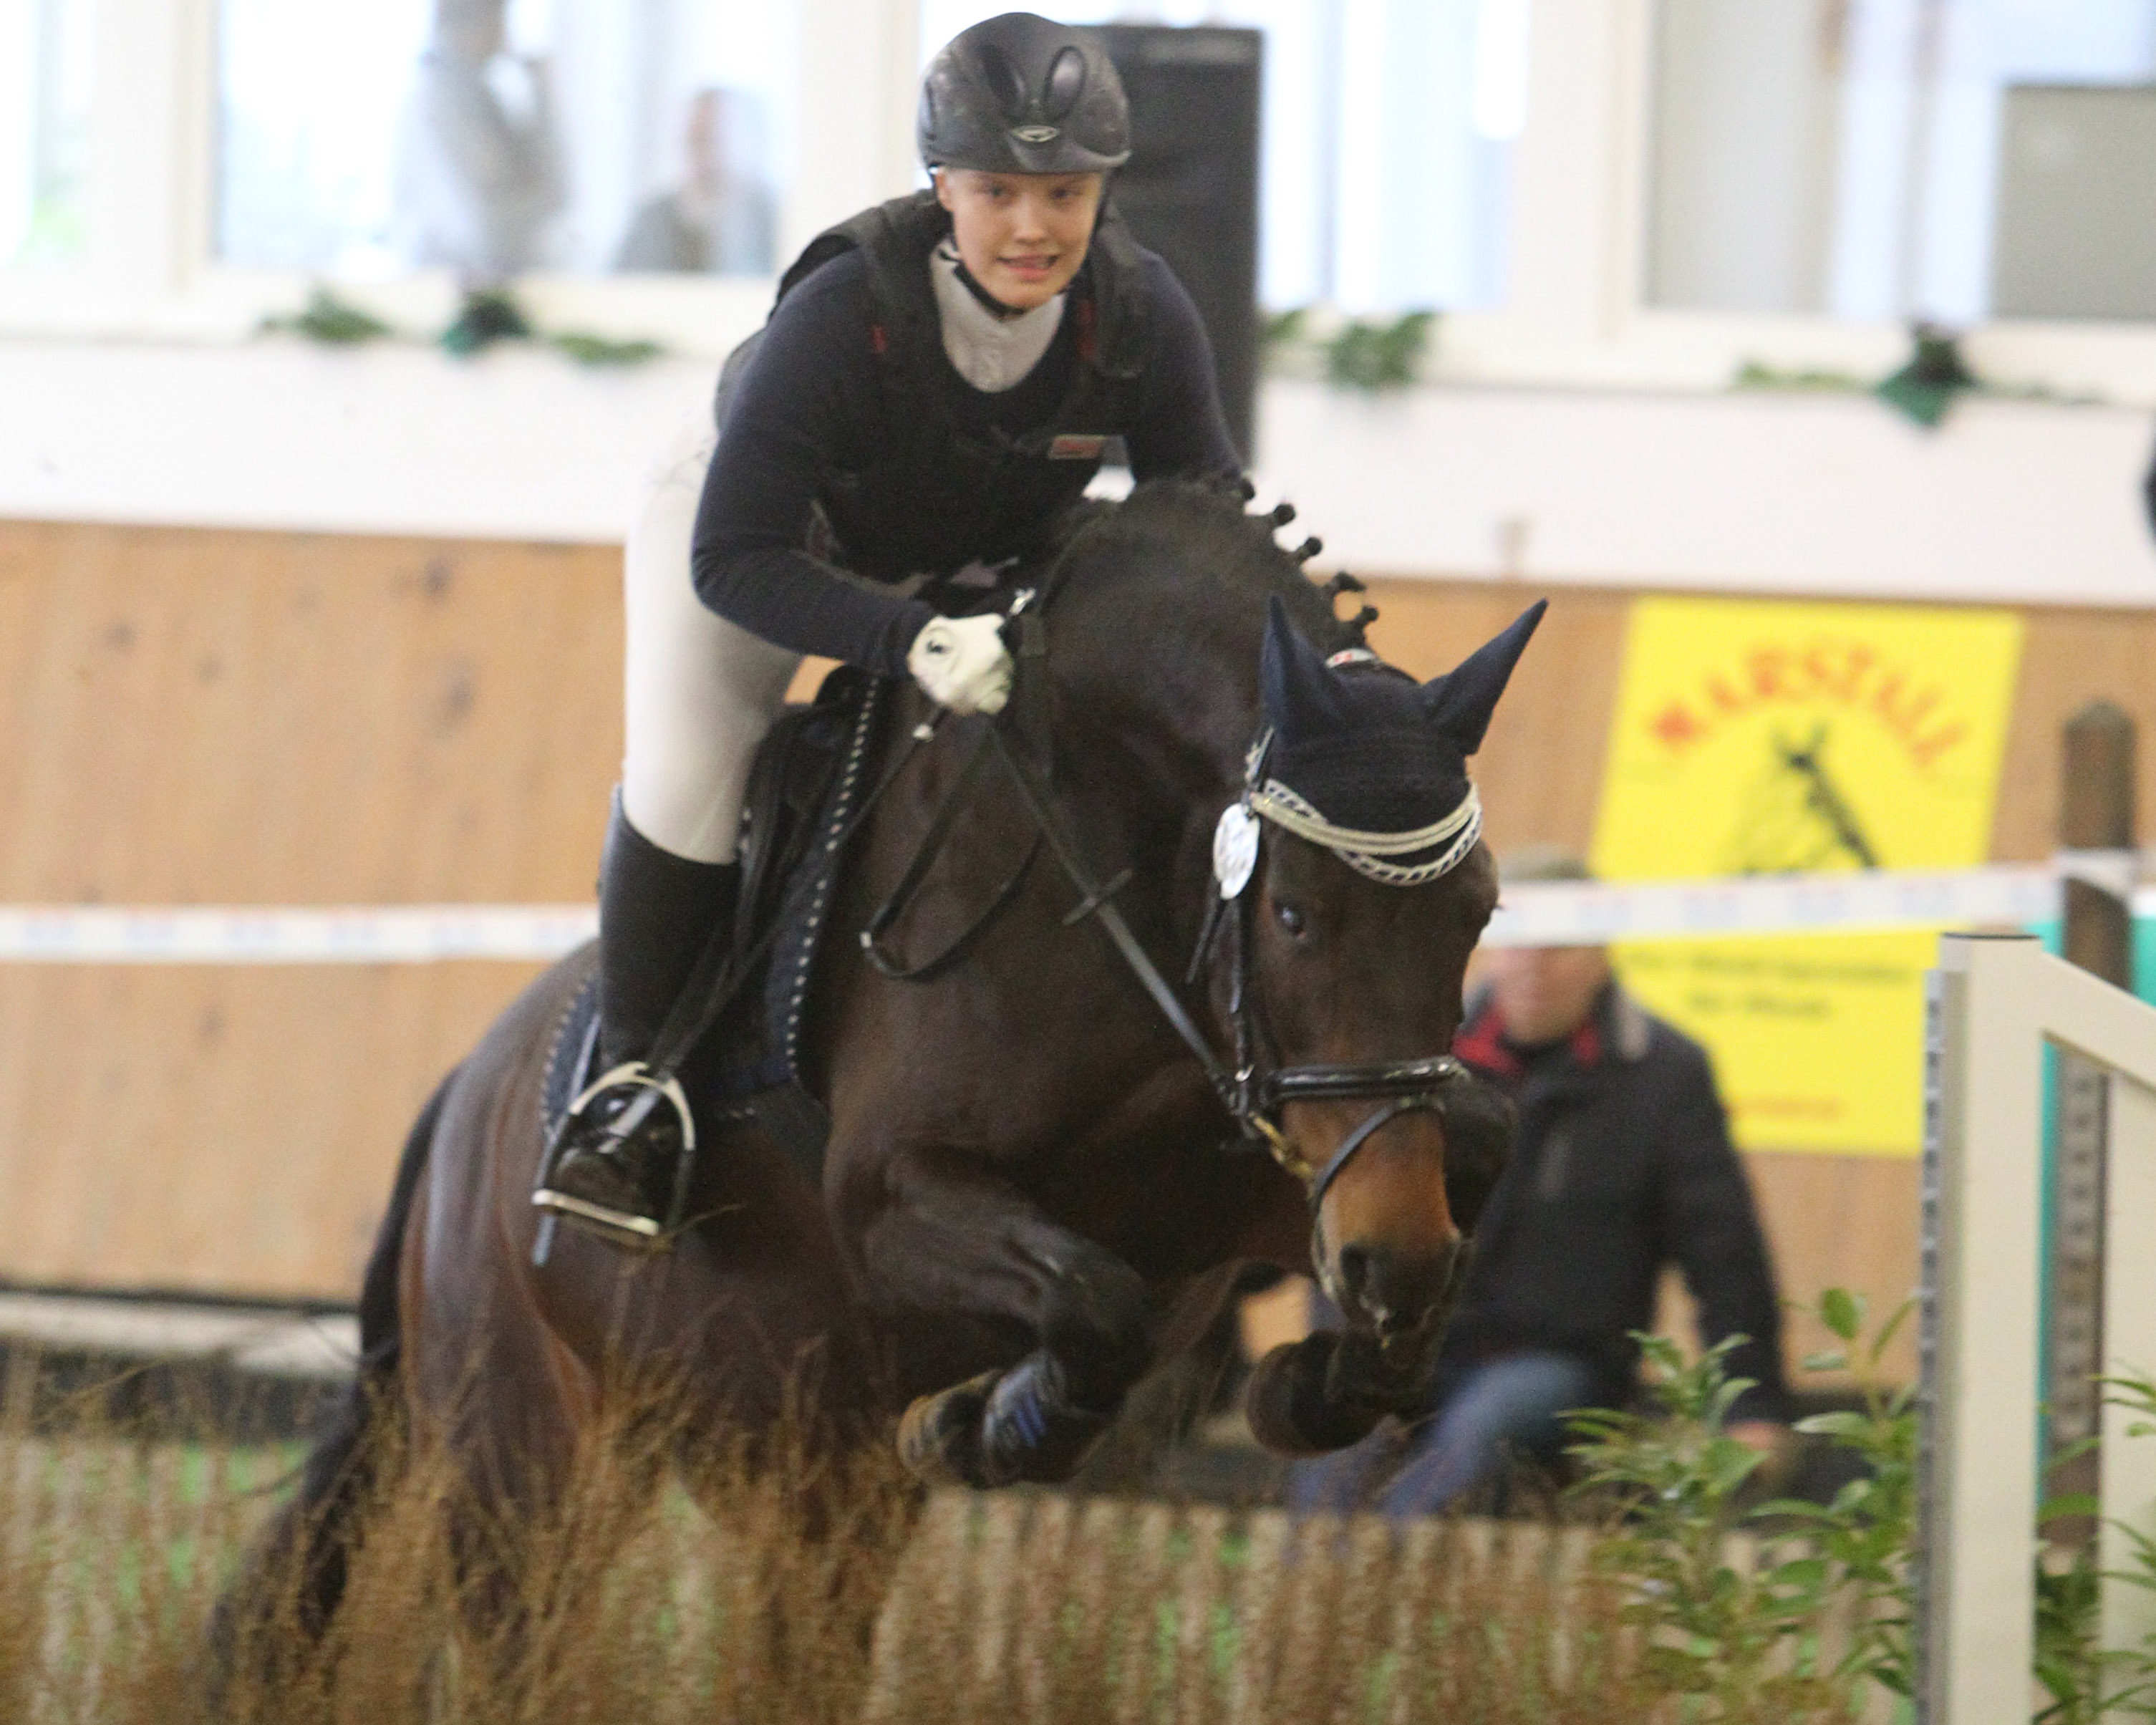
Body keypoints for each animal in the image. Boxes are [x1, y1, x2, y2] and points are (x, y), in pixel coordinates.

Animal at [248, 474, 1534, 1647]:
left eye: (1476, 912)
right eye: (1295, 917)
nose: (1385, 1261)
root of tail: (463, 1100)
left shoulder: (1252, 1179)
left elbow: (1471, 1144)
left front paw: (1321, 1378)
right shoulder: (888, 1199)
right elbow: (1090, 1296)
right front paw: (995, 1420)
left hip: (808, 1497)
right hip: (527, 1471)